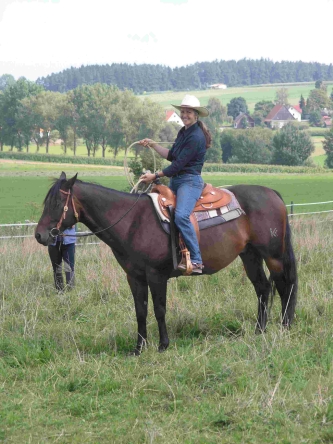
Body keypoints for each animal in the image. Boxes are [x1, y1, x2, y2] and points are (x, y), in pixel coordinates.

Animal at [35, 173, 296, 354]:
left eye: (57, 203)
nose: (40, 235)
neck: (133, 222)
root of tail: (273, 194)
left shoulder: (156, 275)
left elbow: (159, 309)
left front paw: (163, 345)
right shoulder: (134, 277)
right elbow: (140, 311)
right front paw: (139, 348)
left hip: (273, 255)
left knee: (285, 287)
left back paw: (285, 325)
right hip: (250, 255)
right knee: (263, 288)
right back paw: (259, 330)